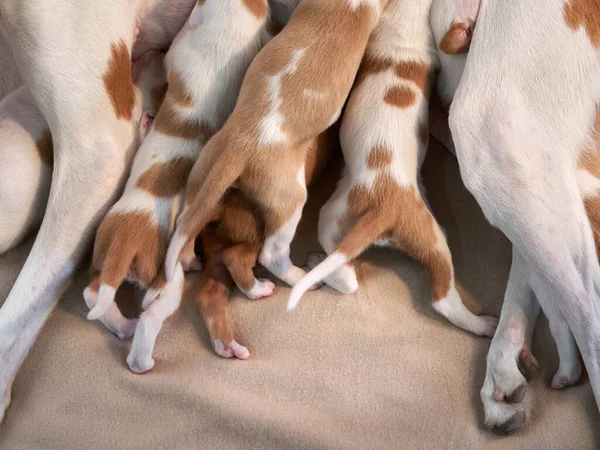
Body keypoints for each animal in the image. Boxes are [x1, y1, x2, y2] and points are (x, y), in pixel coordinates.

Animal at [165, 0, 390, 290]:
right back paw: (301, 278)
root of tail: (239, 148)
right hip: (288, 201)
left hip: (202, 176)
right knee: (272, 256)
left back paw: (191, 258)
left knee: (186, 226)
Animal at [286, 0, 496, 338]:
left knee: (353, 274)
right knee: (437, 298)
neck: (404, 15)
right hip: (416, 233)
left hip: (357, 220)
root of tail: (386, 209)